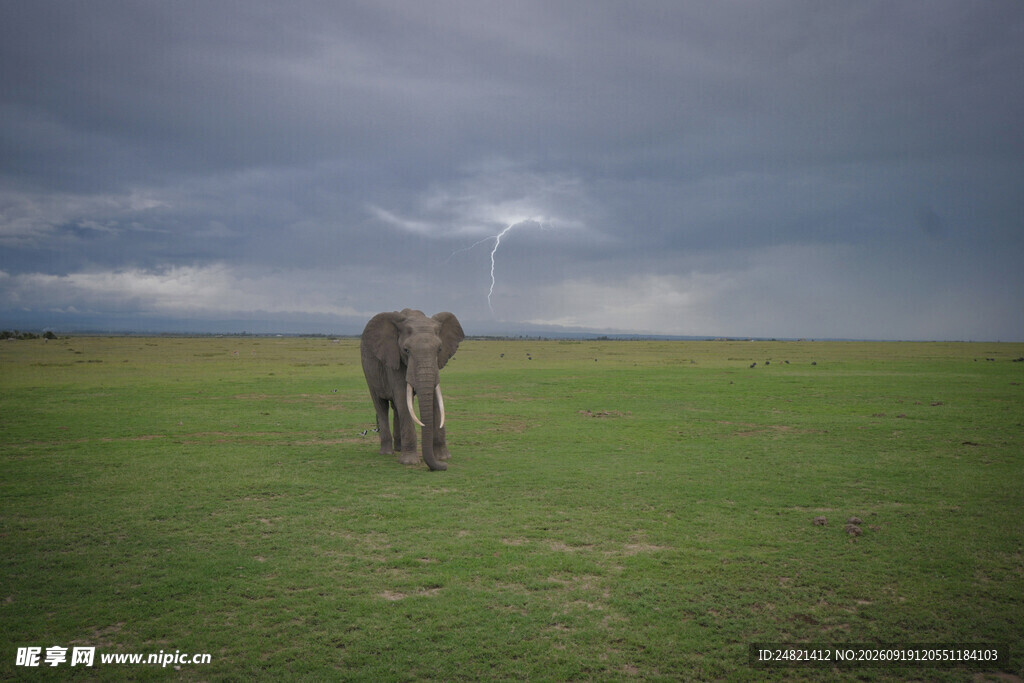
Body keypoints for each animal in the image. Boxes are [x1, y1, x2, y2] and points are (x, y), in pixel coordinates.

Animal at [360, 309, 465, 471]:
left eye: (439, 349)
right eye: (406, 350)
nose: (444, 466)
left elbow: (434, 400)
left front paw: (443, 457)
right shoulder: (394, 359)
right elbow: (403, 400)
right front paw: (409, 462)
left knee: (395, 408)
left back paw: (398, 449)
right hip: (369, 371)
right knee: (381, 405)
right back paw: (387, 452)